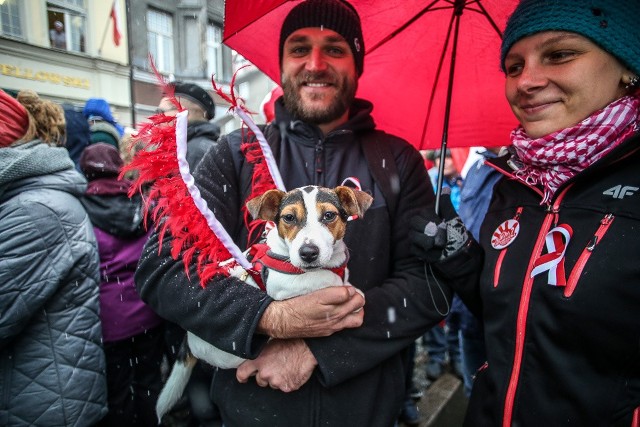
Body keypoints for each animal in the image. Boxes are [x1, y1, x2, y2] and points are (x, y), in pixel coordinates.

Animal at [155, 185, 372, 422]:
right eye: (288, 218)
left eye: (329, 215)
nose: (308, 253)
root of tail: (189, 340)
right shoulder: (284, 285)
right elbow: (322, 279)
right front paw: (347, 291)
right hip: (229, 356)